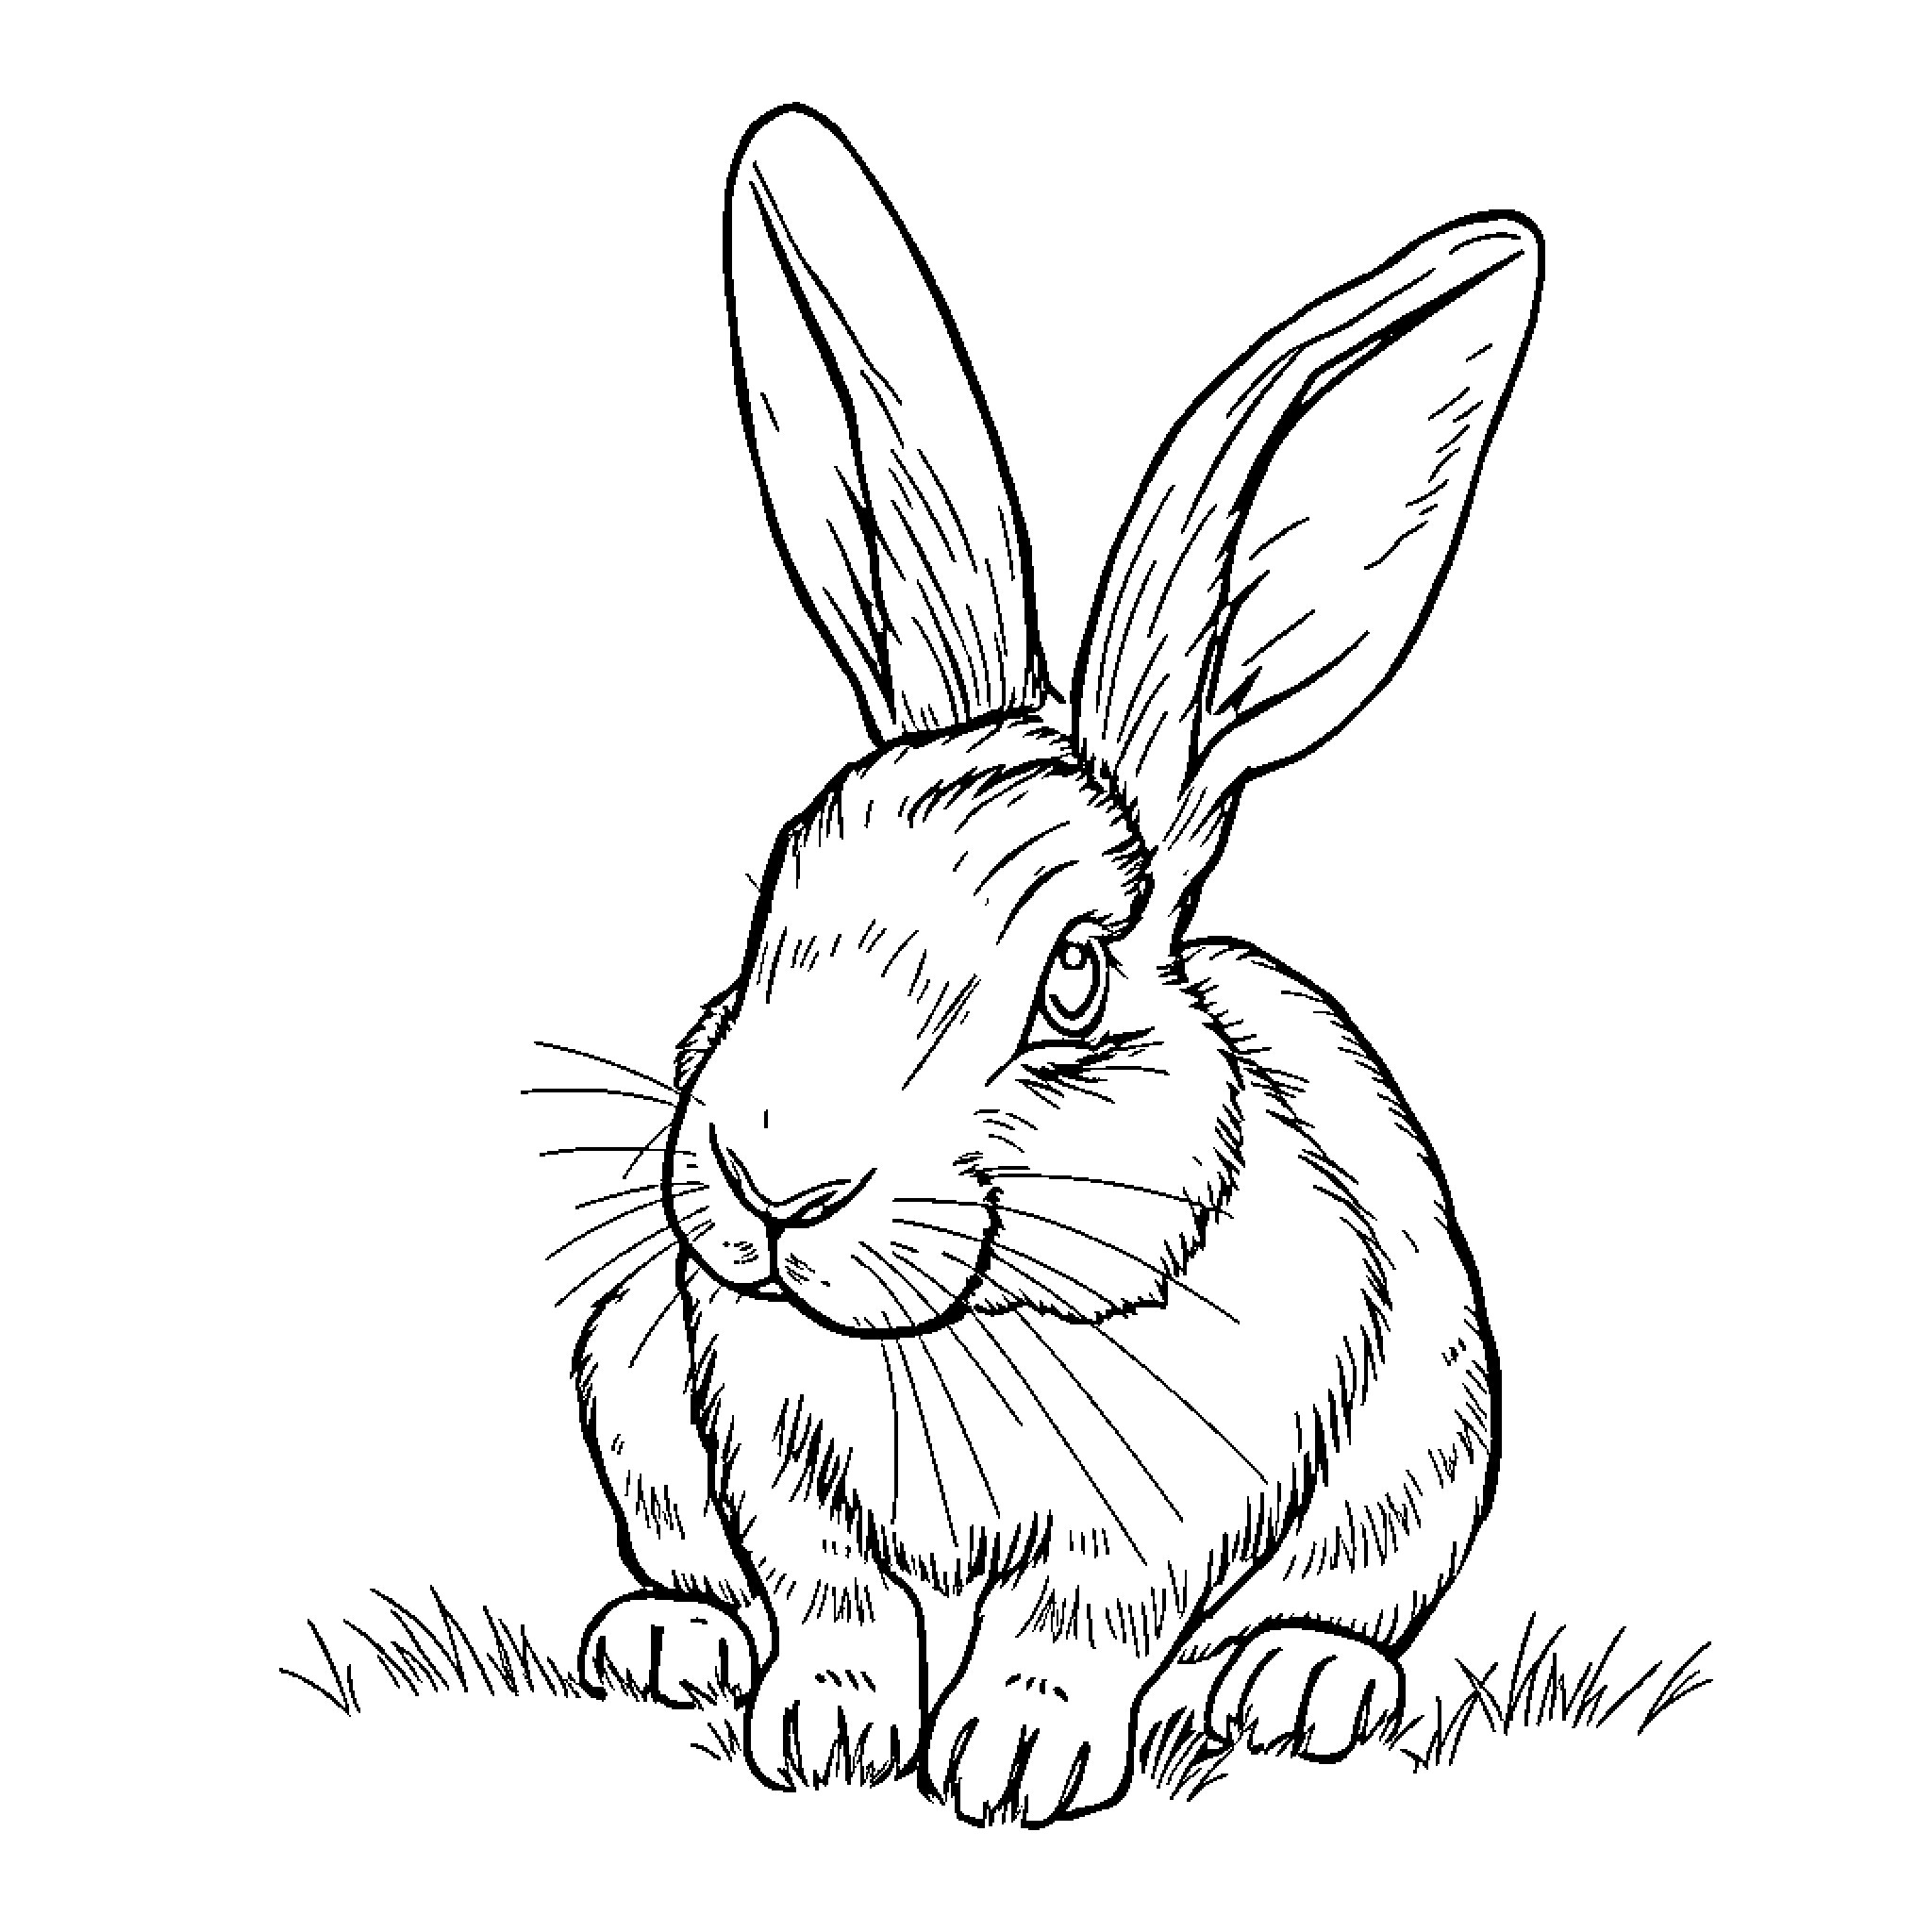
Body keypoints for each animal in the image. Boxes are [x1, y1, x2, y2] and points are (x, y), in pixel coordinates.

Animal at [546, 102, 1541, 1825]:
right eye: (771, 901)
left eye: (1073, 976)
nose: (771, 1183)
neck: (950, 1335)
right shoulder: (769, 1465)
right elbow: (833, 1603)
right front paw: (823, 1738)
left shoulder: (1160, 1516)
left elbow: (1073, 1625)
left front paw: (1011, 1763)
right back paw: (671, 1639)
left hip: (1431, 1440)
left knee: (1350, 1595)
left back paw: (1291, 1680)